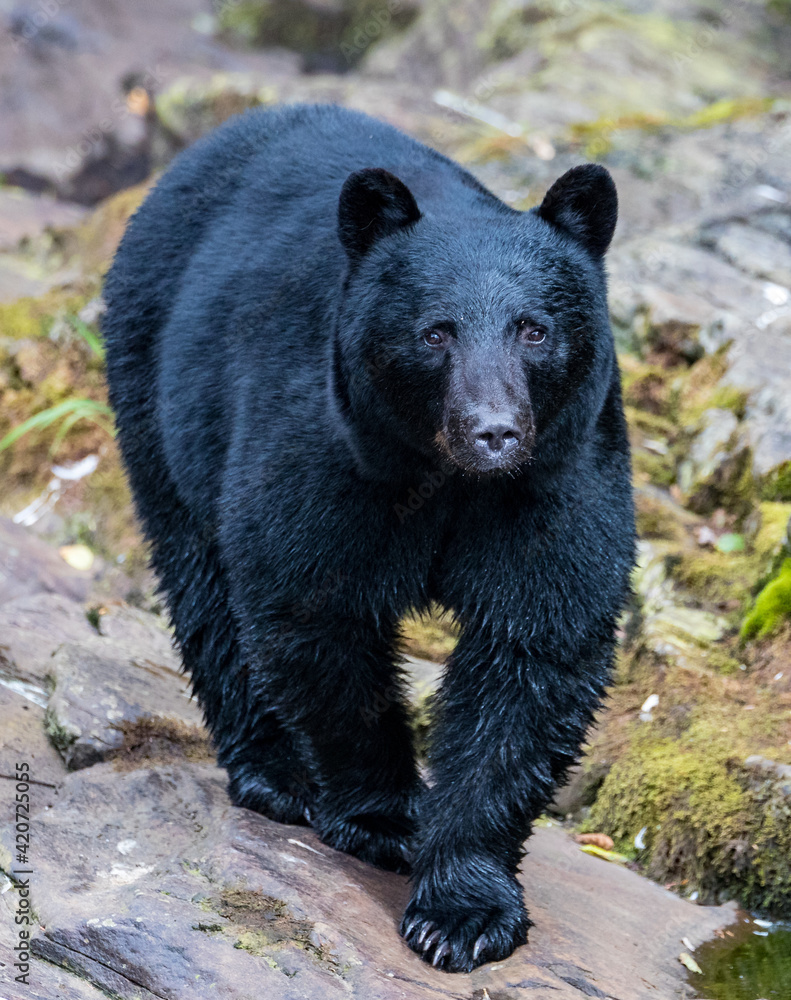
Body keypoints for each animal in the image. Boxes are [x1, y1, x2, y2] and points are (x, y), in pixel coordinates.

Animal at [102, 103, 635, 973]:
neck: (450, 478)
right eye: (434, 333)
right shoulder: (332, 449)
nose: (492, 431)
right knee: (202, 580)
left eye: (533, 330)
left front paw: (463, 909)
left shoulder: (559, 470)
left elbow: (532, 649)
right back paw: (274, 773)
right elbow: (316, 613)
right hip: (154, 380)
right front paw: (383, 817)